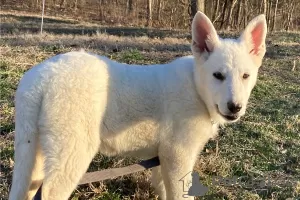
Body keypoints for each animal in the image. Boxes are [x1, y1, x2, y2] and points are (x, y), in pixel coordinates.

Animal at [8, 11, 268, 199]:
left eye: (246, 76)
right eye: (218, 76)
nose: (235, 107)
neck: (196, 87)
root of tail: (42, 78)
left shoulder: (163, 159)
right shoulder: (178, 154)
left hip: (33, 149)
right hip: (71, 151)